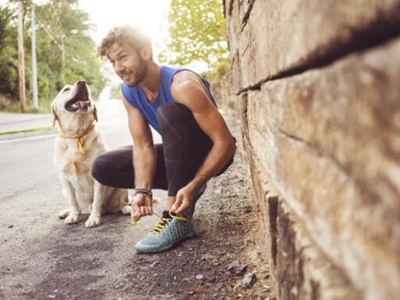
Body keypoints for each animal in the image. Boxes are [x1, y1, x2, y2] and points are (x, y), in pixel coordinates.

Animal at [50, 79, 130, 227]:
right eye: (66, 89)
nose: (82, 82)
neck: (77, 135)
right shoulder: (64, 177)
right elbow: (73, 201)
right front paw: (73, 216)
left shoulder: (97, 177)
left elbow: (97, 200)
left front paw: (94, 218)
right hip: (64, 191)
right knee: (78, 207)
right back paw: (67, 212)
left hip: (120, 187)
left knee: (123, 202)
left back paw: (126, 208)